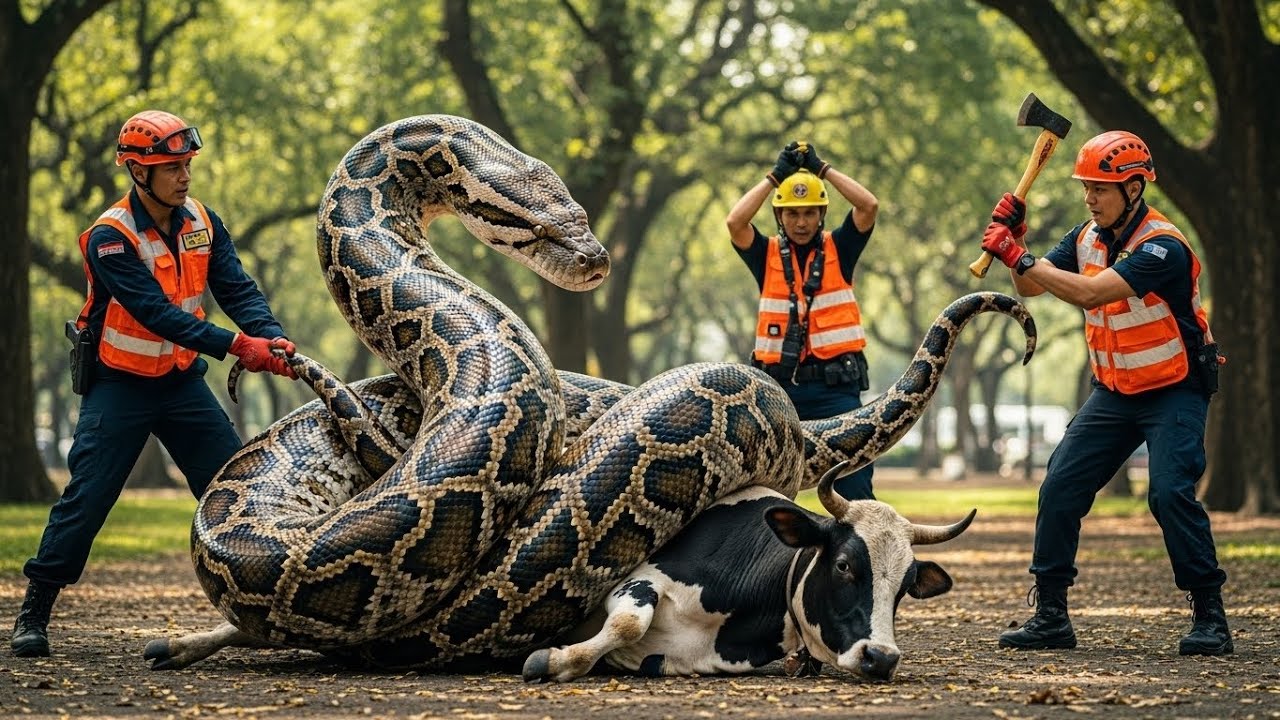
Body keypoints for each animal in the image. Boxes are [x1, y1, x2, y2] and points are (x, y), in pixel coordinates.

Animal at [522, 460, 975, 683]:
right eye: (844, 564)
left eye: (905, 586)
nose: (881, 658)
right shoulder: (640, 580)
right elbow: (630, 622)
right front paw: (554, 660)